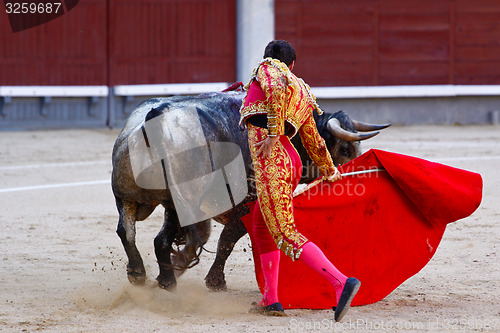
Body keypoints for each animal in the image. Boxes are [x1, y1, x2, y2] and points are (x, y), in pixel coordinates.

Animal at [111, 89, 388, 290]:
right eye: (345, 149)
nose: (352, 180)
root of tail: (153, 120)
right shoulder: (248, 203)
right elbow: (227, 239)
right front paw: (215, 281)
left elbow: (205, 237)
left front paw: (180, 264)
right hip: (179, 203)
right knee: (161, 238)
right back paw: (165, 280)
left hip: (127, 196)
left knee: (128, 232)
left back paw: (140, 274)